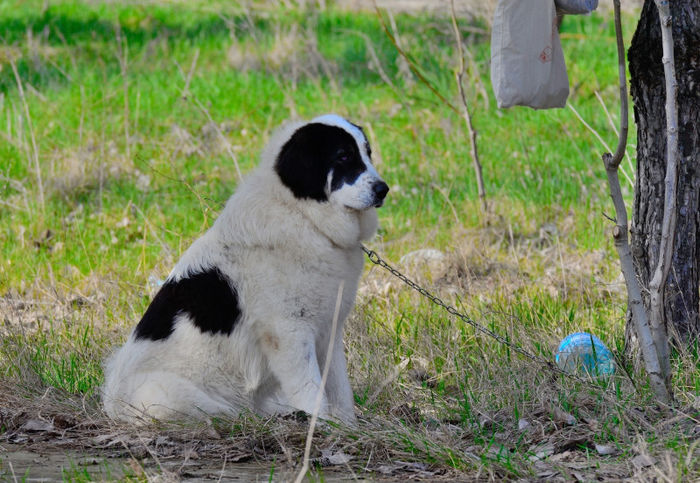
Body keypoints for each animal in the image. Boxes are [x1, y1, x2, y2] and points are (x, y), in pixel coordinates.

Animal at [102, 113, 388, 424]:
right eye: (343, 156)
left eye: (368, 153)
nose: (383, 189)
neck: (302, 215)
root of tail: (111, 401)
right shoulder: (289, 334)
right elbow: (311, 391)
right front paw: (320, 425)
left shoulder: (329, 332)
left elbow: (339, 389)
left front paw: (348, 427)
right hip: (173, 396)